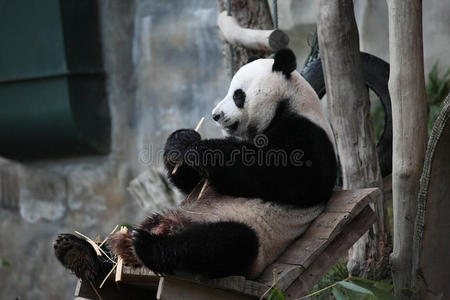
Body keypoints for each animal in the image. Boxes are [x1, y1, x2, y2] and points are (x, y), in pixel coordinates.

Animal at [54, 48, 336, 284]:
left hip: (253, 239)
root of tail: (168, 225)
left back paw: (146, 246)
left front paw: (202, 150)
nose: (216, 115)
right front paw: (182, 141)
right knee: (114, 247)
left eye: (238, 95)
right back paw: (79, 252)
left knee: (222, 243)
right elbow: (191, 182)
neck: (286, 104)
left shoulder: (308, 133)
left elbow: (293, 177)